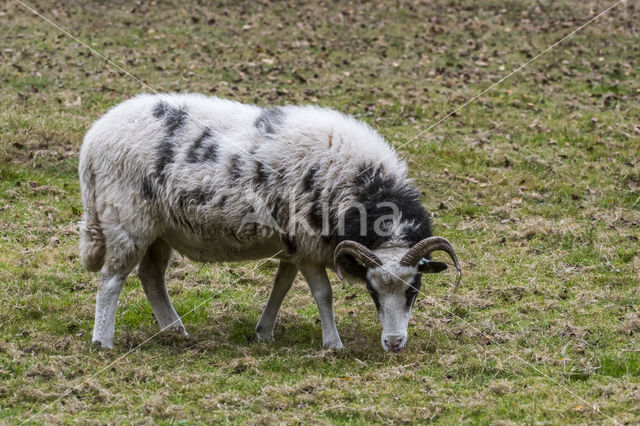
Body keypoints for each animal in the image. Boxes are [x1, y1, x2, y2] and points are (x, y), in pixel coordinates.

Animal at [80, 94, 460, 352]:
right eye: (371, 290)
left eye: (414, 290)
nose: (394, 344)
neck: (361, 185)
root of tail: (94, 138)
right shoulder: (307, 243)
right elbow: (323, 294)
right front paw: (333, 344)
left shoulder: (293, 244)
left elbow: (282, 284)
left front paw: (264, 332)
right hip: (127, 220)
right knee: (111, 280)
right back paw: (103, 341)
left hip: (160, 229)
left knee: (151, 277)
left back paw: (175, 331)